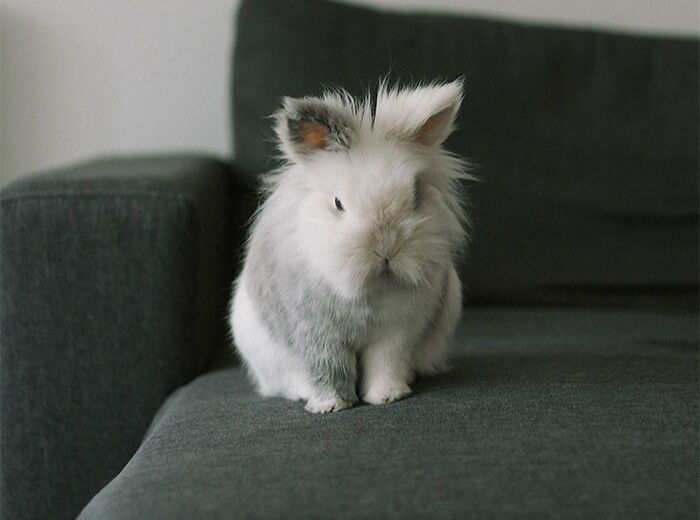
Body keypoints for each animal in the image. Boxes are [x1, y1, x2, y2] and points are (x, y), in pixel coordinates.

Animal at [229, 79, 472, 413]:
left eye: (415, 196)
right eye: (338, 203)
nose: (386, 248)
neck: (369, 292)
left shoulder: (395, 333)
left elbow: (386, 364)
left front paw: (388, 396)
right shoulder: (316, 333)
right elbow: (327, 369)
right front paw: (330, 406)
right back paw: (300, 392)